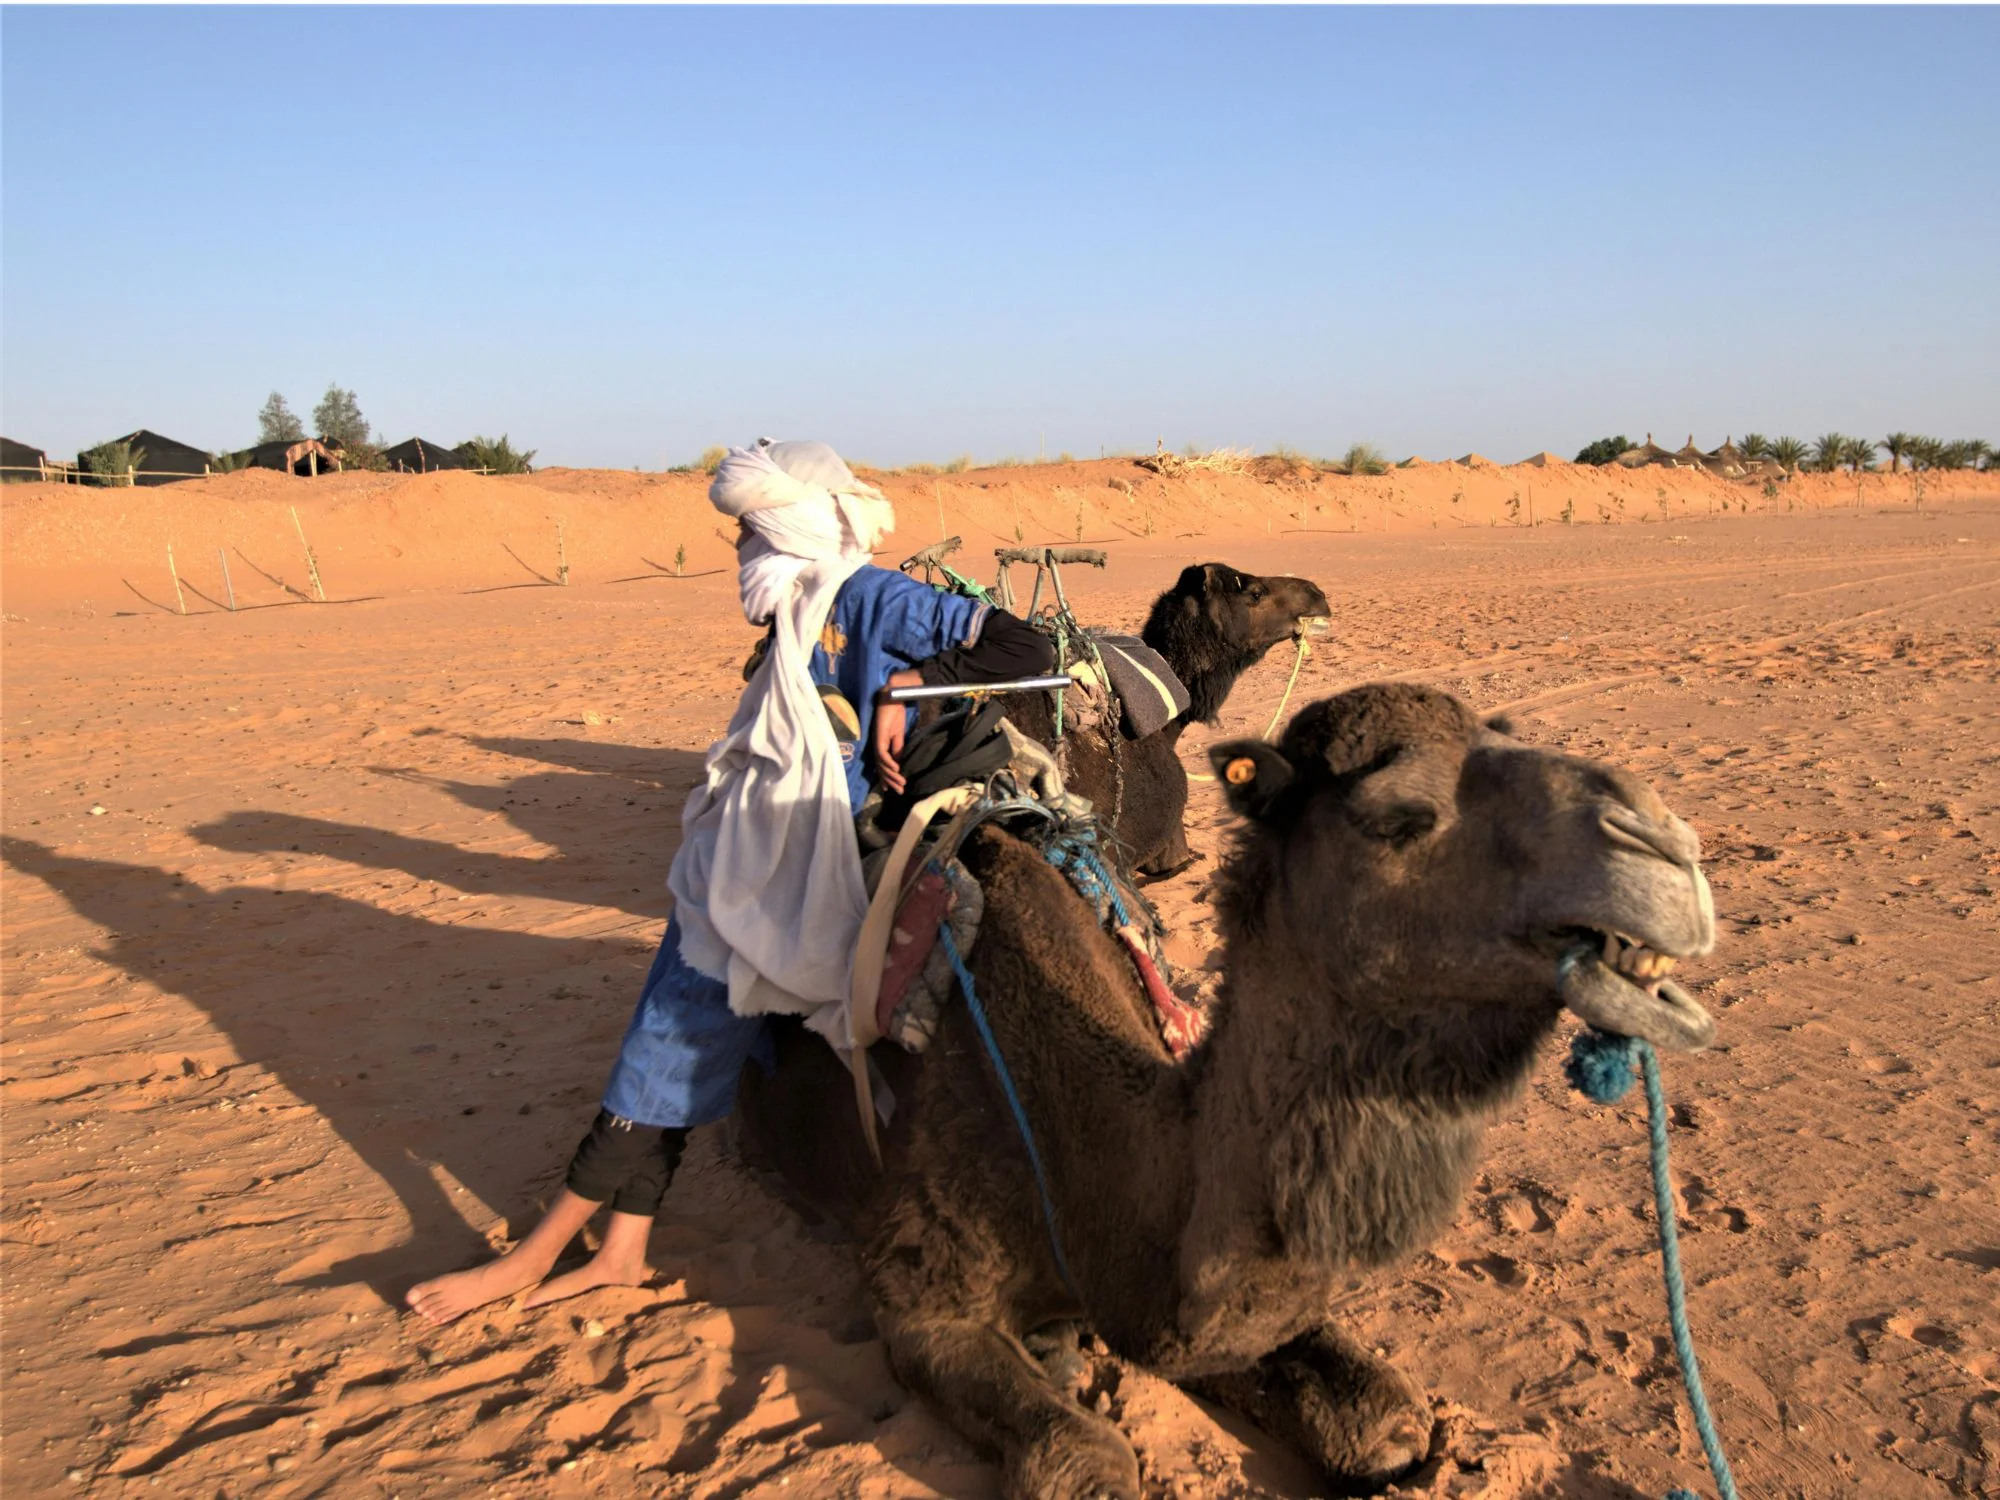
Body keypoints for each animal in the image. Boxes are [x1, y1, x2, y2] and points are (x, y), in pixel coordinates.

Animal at [737, 682, 1718, 1497]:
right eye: (1397, 817)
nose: (1668, 852)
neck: (1084, 1167)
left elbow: (1383, 1417)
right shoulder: (917, 1277)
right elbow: (1079, 1458)